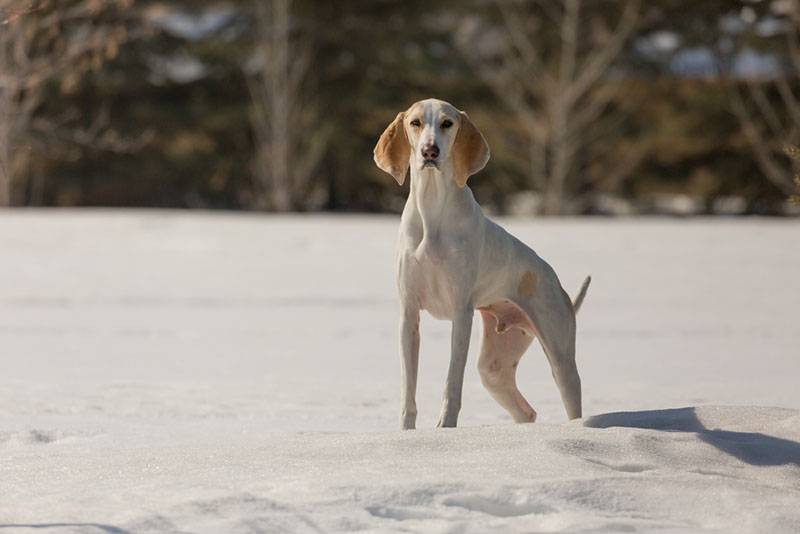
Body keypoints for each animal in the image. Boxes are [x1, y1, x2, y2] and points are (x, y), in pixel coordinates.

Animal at [372, 97, 592, 432]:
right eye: (415, 123)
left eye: (447, 123)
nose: (429, 151)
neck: (432, 210)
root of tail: (557, 284)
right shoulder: (409, 315)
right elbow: (408, 389)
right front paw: (406, 434)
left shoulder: (461, 314)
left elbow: (452, 382)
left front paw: (445, 429)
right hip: (494, 368)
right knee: (526, 412)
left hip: (560, 356)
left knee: (569, 395)